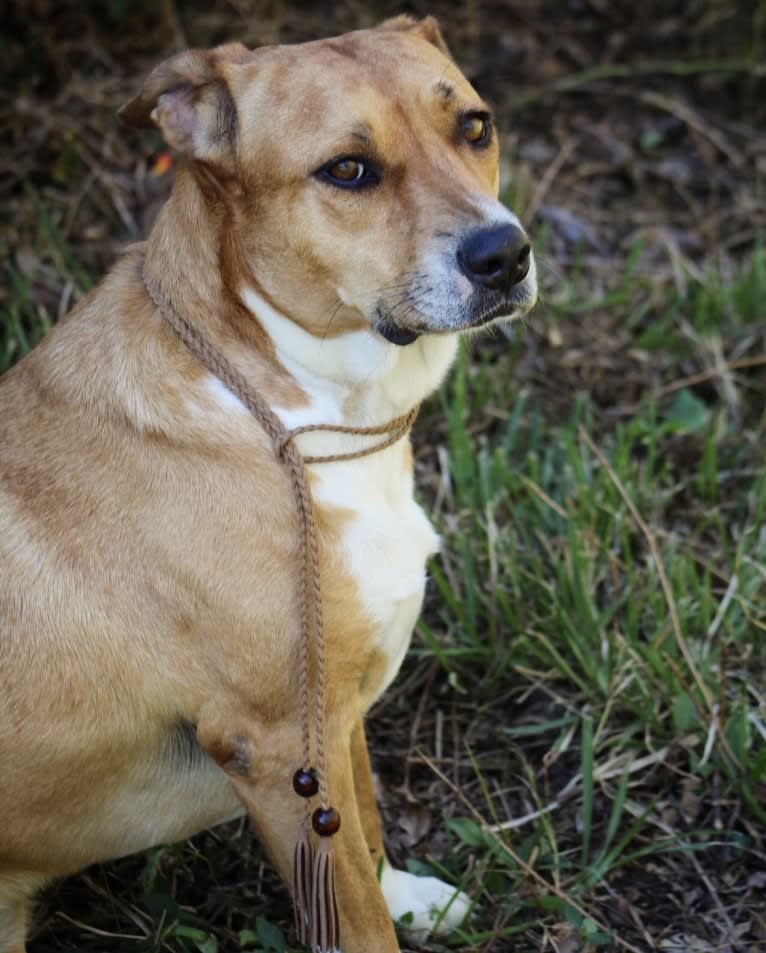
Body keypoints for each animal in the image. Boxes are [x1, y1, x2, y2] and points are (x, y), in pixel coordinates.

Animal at [0, 16, 536, 952]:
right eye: (348, 170)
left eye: (475, 126)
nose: (505, 255)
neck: (292, 415)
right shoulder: (282, 741)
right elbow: (354, 911)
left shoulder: (333, 713)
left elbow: (364, 831)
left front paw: (405, 896)